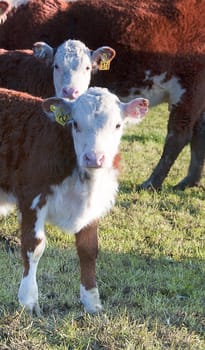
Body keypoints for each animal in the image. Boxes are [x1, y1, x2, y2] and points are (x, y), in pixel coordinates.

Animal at [0, 0, 204, 189]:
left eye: (88, 68)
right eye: (56, 66)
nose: (70, 91)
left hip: (190, 88)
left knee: (177, 136)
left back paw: (152, 182)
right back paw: (190, 181)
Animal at [0, 86, 148, 314]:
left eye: (117, 125)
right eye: (75, 123)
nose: (94, 158)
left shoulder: (93, 207)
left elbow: (88, 250)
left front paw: (92, 302)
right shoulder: (32, 199)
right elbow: (33, 247)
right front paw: (29, 300)